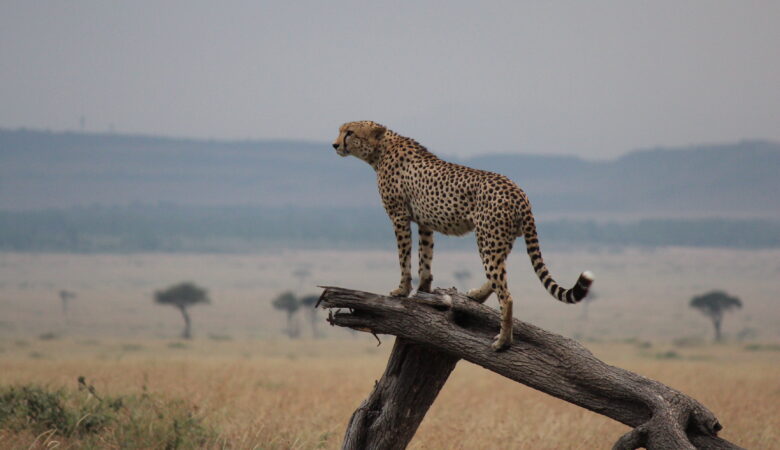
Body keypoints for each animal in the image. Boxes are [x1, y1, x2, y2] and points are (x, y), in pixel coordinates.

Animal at [332, 120, 596, 352]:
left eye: (350, 132)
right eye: (341, 130)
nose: (335, 145)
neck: (381, 149)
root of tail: (519, 191)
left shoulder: (399, 217)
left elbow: (404, 257)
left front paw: (402, 290)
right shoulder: (425, 222)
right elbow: (425, 258)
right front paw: (424, 290)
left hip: (488, 239)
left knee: (506, 295)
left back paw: (503, 341)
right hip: (501, 238)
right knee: (498, 277)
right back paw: (477, 296)